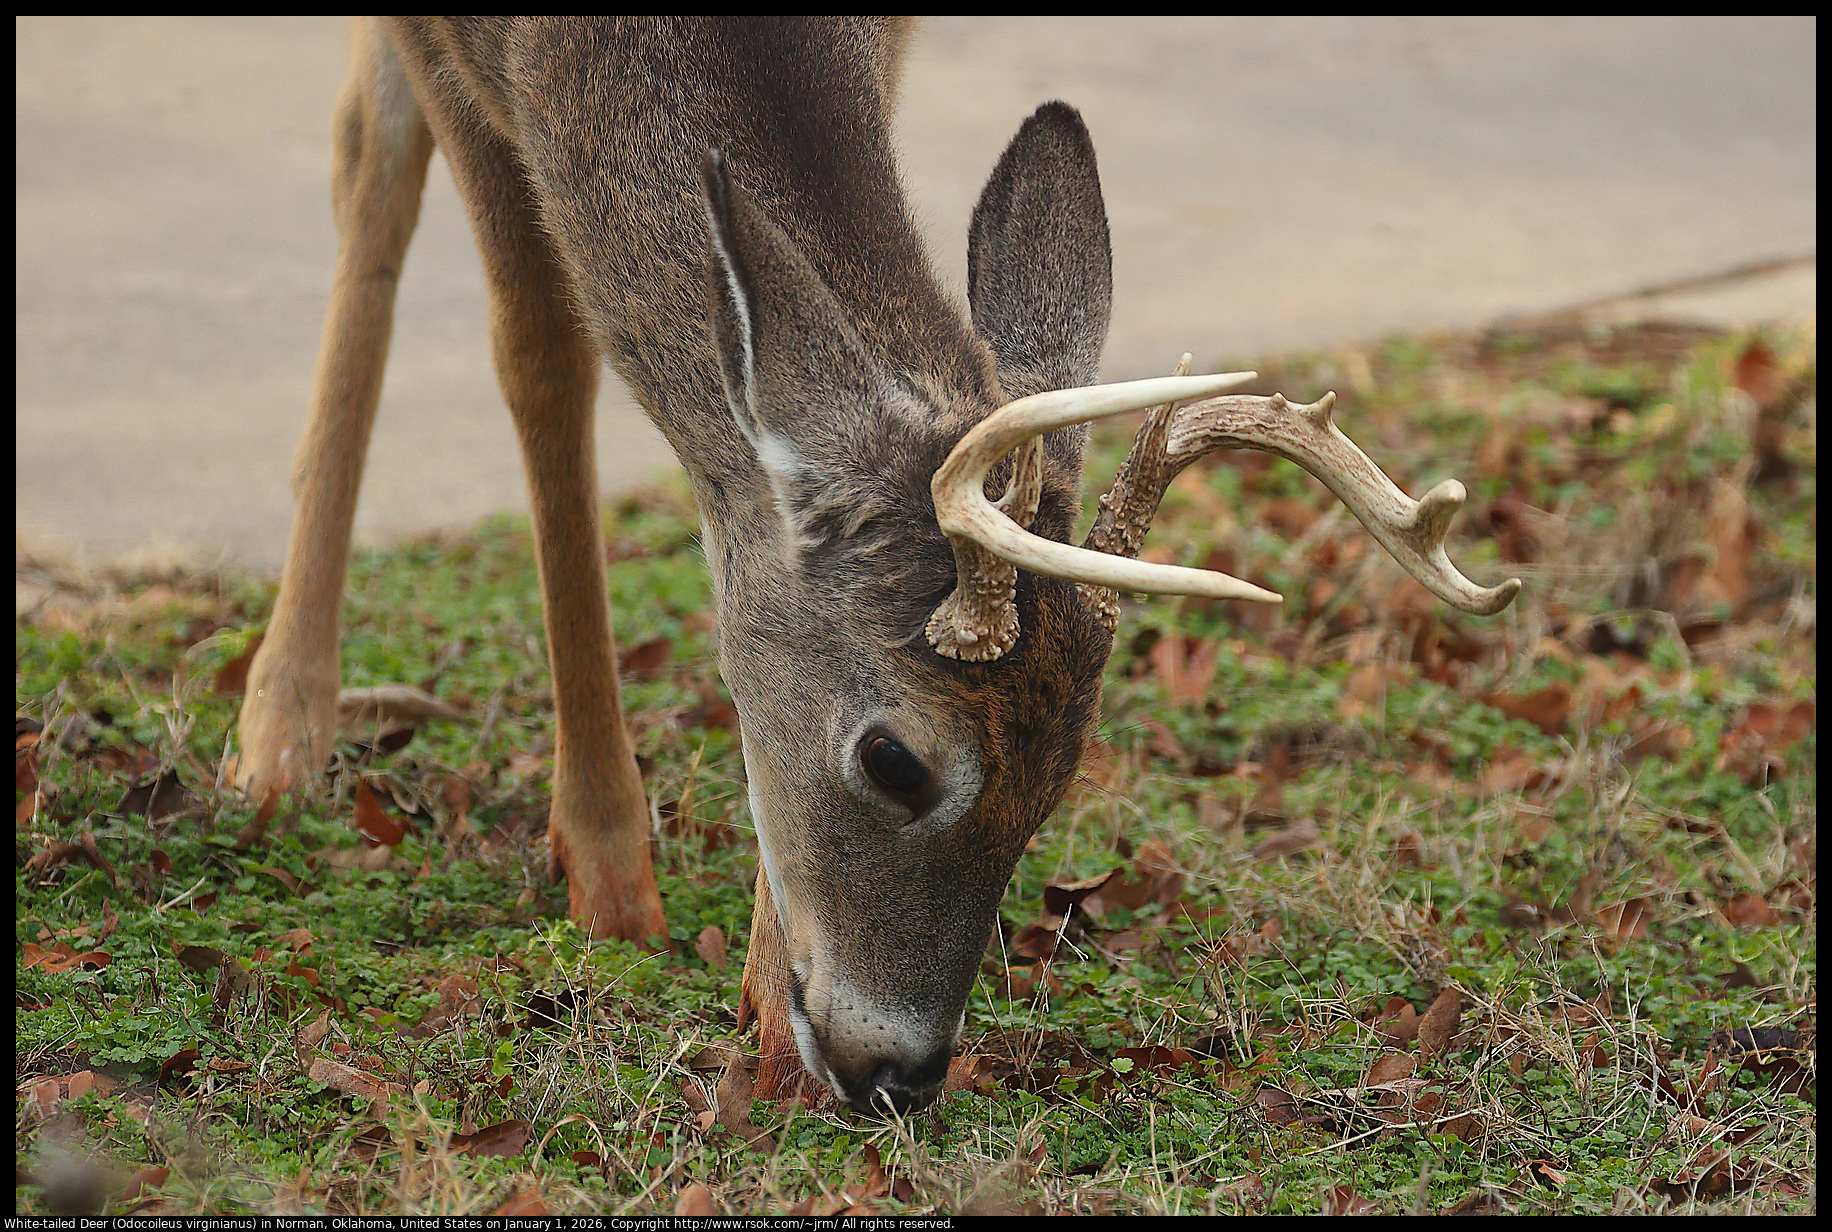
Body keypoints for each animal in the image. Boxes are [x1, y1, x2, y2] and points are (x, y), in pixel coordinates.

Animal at [233, 17, 1520, 1118]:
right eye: (893, 757)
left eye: (1064, 769)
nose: (899, 1070)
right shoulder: (457, 55)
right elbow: (540, 350)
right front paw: (605, 874)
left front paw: (763, 1003)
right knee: (366, 163)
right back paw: (279, 730)